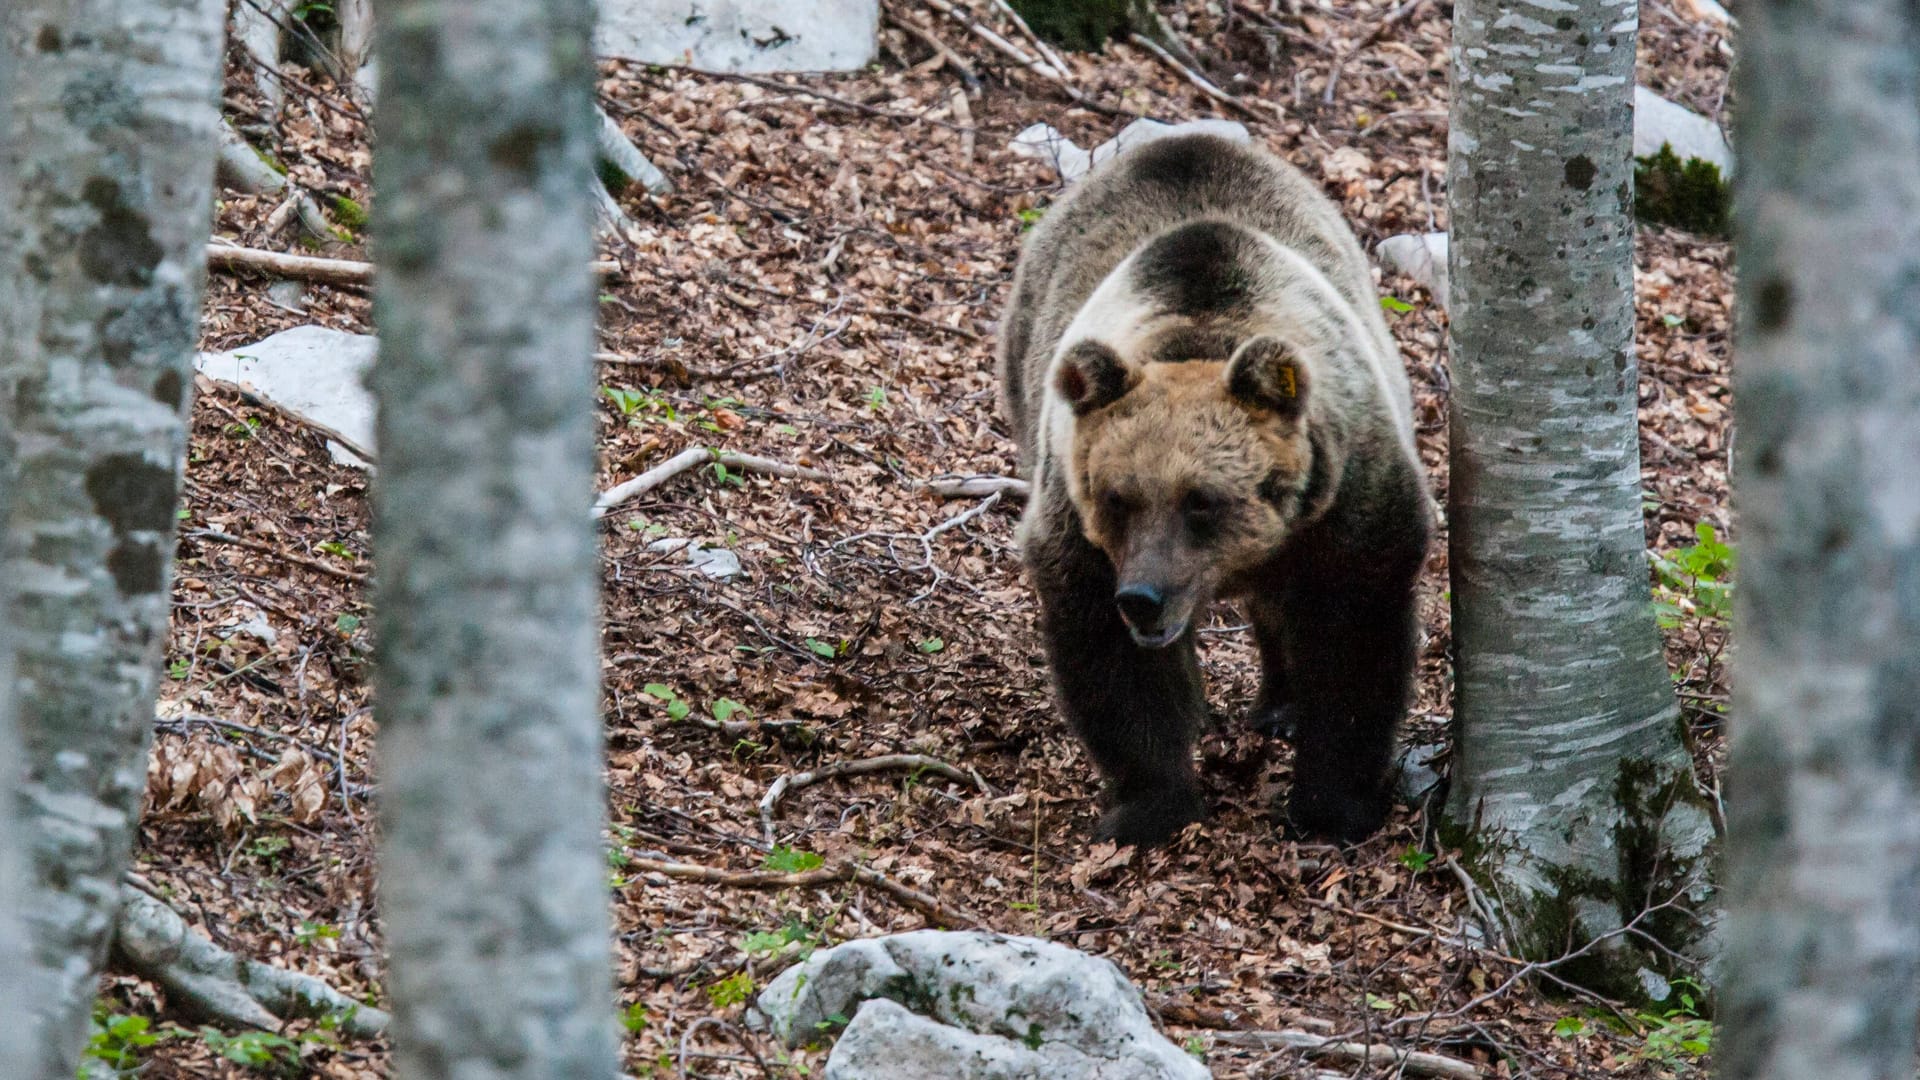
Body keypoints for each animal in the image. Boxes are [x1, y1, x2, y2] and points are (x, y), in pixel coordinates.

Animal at [1006, 132, 1428, 841]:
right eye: (1117, 497)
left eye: (1200, 500)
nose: (1142, 598)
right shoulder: (1077, 527)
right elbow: (1113, 662)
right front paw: (1150, 804)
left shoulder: (1349, 501)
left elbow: (1352, 640)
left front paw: (1332, 805)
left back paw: (1281, 706)